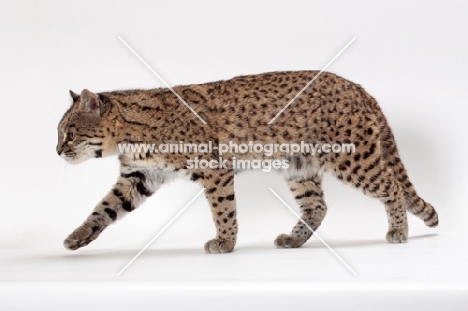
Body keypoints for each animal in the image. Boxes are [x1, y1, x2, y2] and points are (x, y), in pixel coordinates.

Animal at [56, 71, 436, 254]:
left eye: (69, 134)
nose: (57, 152)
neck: (129, 136)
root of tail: (357, 86)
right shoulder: (139, 176)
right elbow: (103, 209)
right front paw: (77, 236)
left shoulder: (214, 169)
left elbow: (223, 209)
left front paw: (225, 242)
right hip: (299, 165)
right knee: (318, 206)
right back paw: (294, 240)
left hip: (352, 157)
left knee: (391, 186)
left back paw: (399, 231)